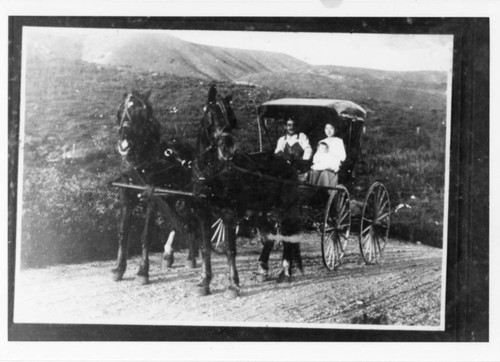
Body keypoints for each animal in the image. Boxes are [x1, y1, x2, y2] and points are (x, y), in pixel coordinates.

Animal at [112, 89, 198, 284]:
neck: (142, 162)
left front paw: (143, 271)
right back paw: (169, 255)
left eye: (141, 113)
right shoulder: (127, 199)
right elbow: (123, 233)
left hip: (186, 196)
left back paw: (191, 256)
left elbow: (146, 235)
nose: (124, 137)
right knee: (176, 221)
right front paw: (119, 269)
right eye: (120, 111)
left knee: (189, 220)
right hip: (170, 197)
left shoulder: (151, 199)